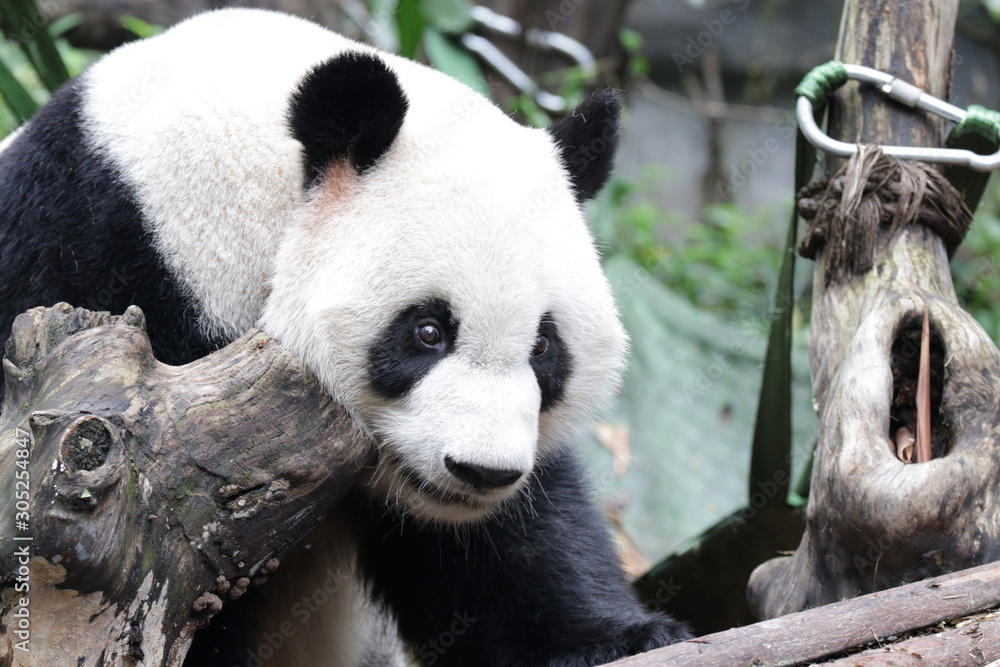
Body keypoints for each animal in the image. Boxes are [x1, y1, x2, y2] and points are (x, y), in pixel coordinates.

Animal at [0, 7, 689, 666]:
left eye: (544, 346)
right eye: (428, 331)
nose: (482, 471)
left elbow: (509, 549)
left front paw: (623, 637)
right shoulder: (94, 264)